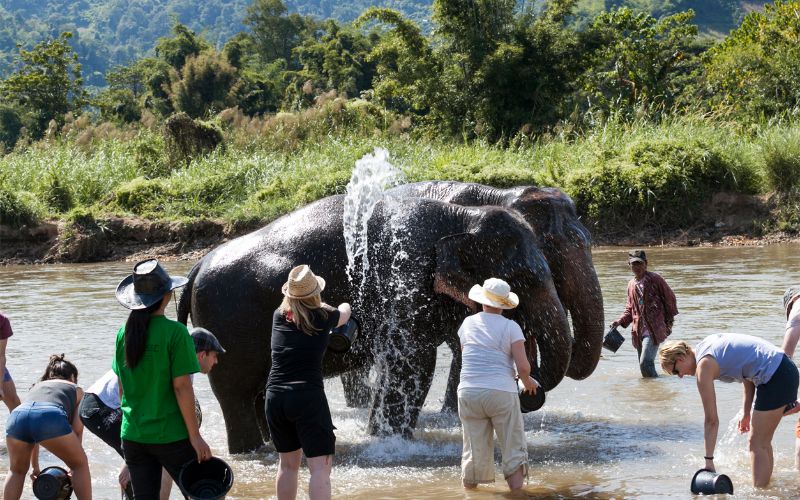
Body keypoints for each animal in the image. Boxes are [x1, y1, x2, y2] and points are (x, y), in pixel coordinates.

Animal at [178, 193, 572, 456]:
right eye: (524, 279)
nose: (527, 388)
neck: (461, 216)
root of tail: (196, 267)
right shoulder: (404, 277)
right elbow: (413, 360)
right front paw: (388, 440)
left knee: (259, 394)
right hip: (228, 328)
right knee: (237, 396)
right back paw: (252, 452)